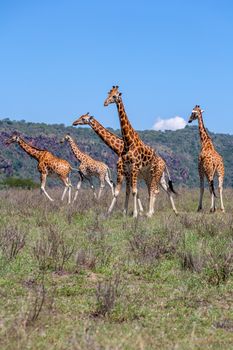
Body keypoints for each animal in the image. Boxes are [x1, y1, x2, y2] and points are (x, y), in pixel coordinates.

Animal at [103, 86, 177, 217]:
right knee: (154, 190)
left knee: (154, 190)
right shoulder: (127, 168)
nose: (105, 103)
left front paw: (135, 214)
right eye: (108, 94)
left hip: (155, 174)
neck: (128, 142)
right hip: (149, 175)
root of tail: (163, 161)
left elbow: (134, 191)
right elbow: (127, 191)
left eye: (115, 96)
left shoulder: (134, 167)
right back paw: (153, 212)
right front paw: (114, 213)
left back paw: (150, 213)